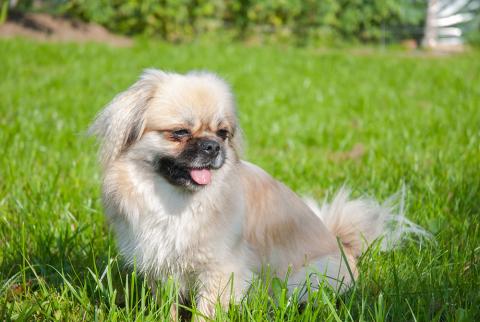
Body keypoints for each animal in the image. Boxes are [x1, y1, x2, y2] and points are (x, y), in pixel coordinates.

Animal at [89, 69, 424, 318]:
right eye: (180, 133)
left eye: (222, 133)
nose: (213, 146)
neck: (175, 203)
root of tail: (346, 248)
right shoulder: (162, 267)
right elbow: (168, 308)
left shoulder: (220, 271)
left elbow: (205, 312)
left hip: (303, 280)